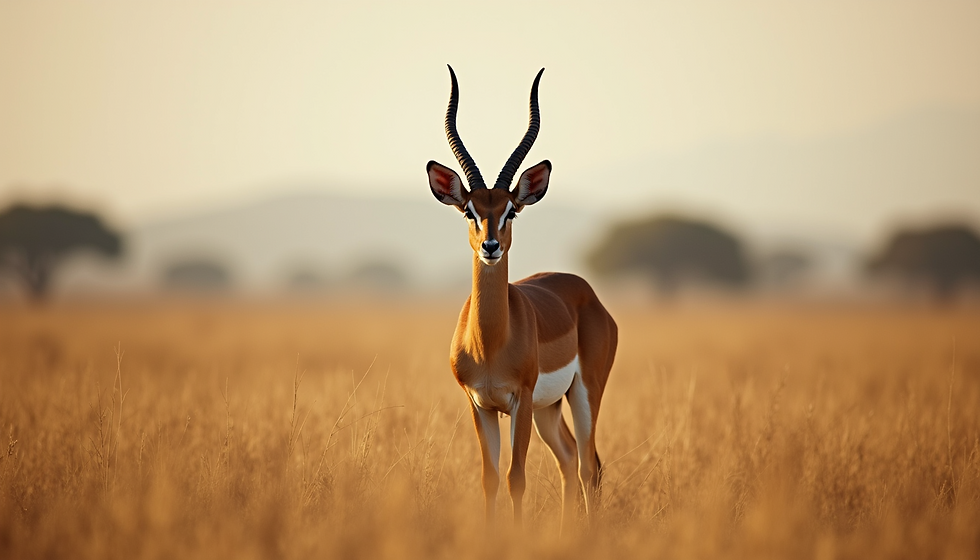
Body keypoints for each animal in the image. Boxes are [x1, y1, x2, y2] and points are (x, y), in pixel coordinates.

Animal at [426, 66, 618, 529]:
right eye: (470, 210)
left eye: (511, 209)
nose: (491, 246)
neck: (491, 343)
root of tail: (587, 293)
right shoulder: (480, 404)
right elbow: (490, 479)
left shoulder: (521, 400)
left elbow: (516, 478)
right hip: (551, 409)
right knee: (569, 458)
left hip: (583, 393)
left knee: (589, 465)